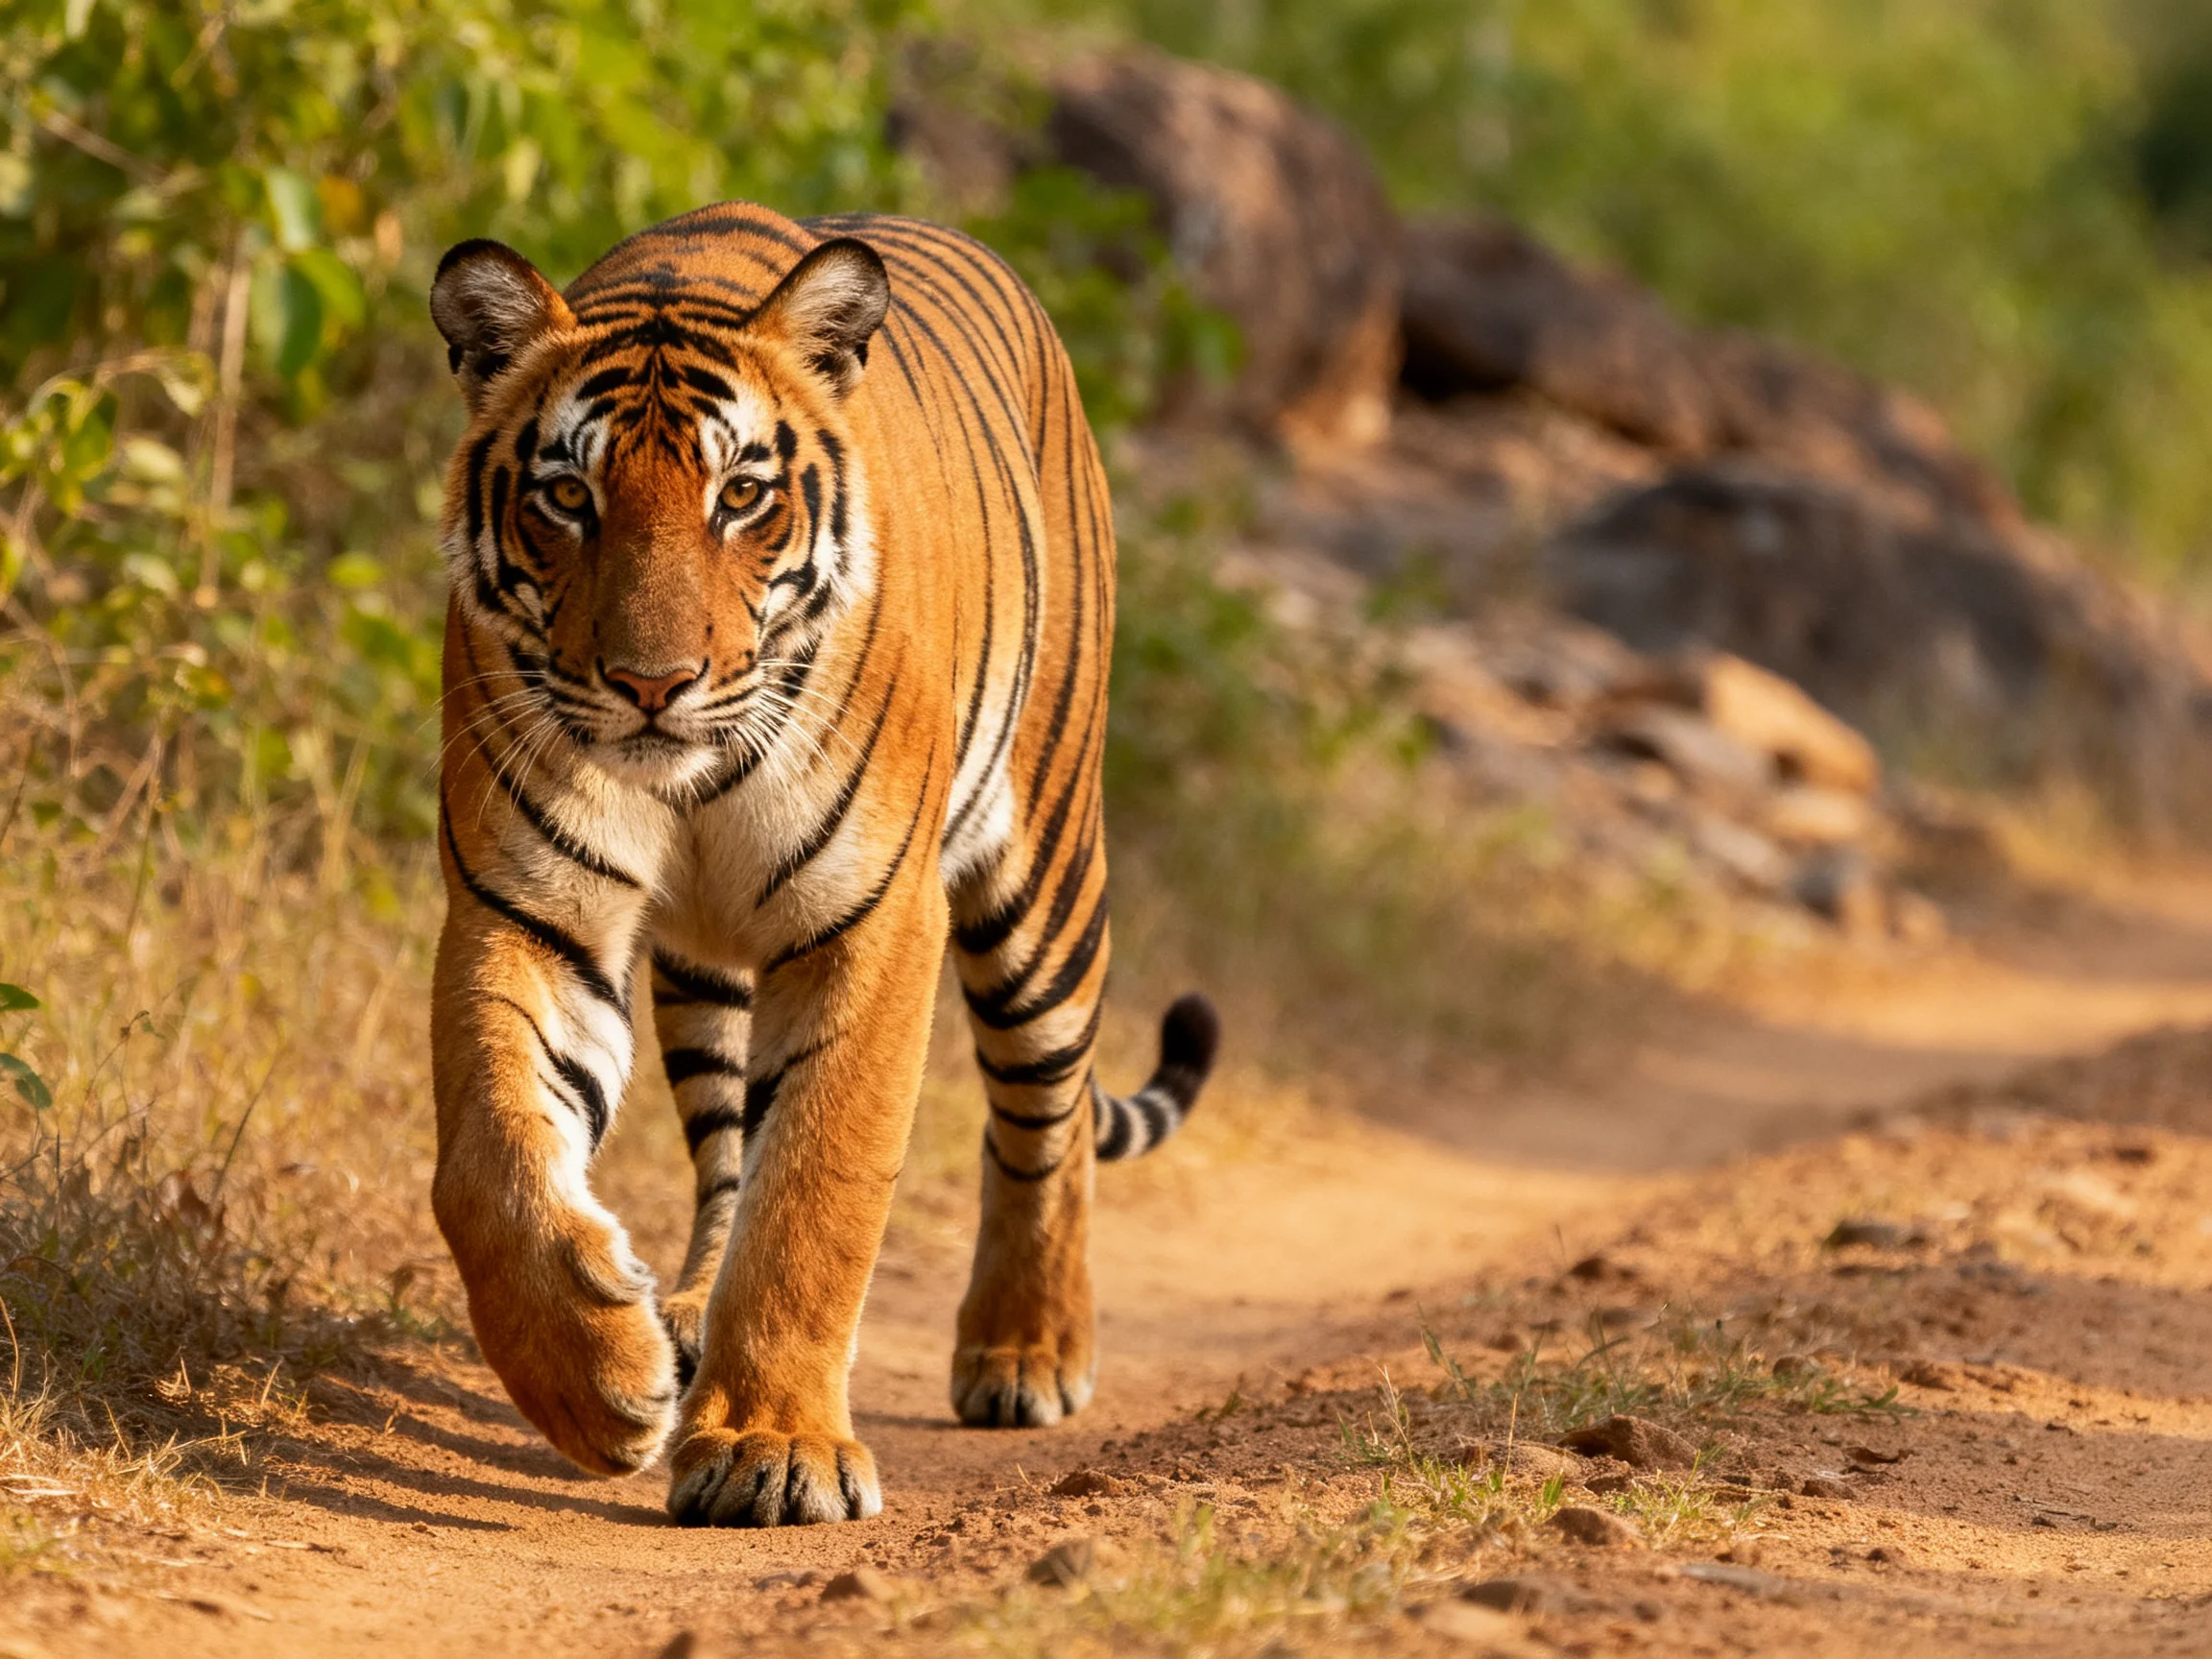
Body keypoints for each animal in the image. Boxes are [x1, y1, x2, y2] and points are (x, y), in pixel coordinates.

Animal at [424, 200, 1218, 1528]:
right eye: (569, 495)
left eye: (741, 495)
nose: (652, 684)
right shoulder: (525, 905)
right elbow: (491, 1161)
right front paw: (599, 1382)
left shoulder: (873, 919)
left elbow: (818, 1188)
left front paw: (772, 1449)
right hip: (707, 969)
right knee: (727, 1150)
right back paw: (686, 1318)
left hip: (1044, 886)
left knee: (1044, 1121)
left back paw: (1028, 1351)